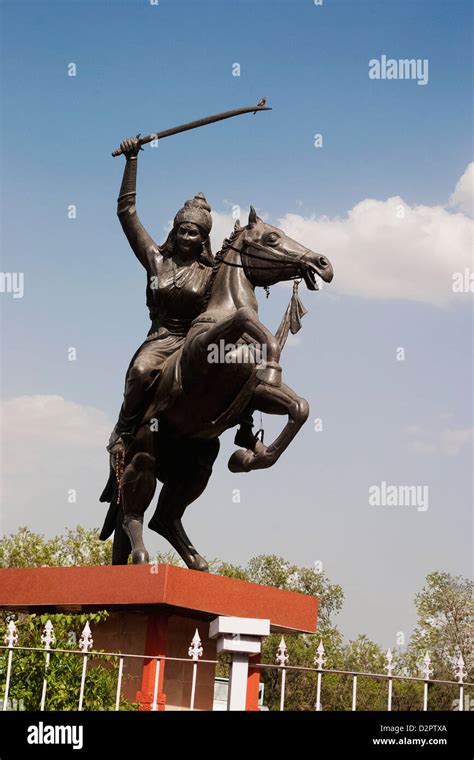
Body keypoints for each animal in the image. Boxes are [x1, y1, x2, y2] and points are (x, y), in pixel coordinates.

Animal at [99, 208, 334, 568]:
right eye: (272, 237)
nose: (323, 263)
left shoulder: (253, 394)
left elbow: (300, 408)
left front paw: (249, 457)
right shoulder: (204, 360)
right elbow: (244, 316)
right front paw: (273, 362)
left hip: (198, 462)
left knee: (164, 517)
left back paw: (197, 562)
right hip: (142, 452)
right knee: (132, 512)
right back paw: (141, 557)